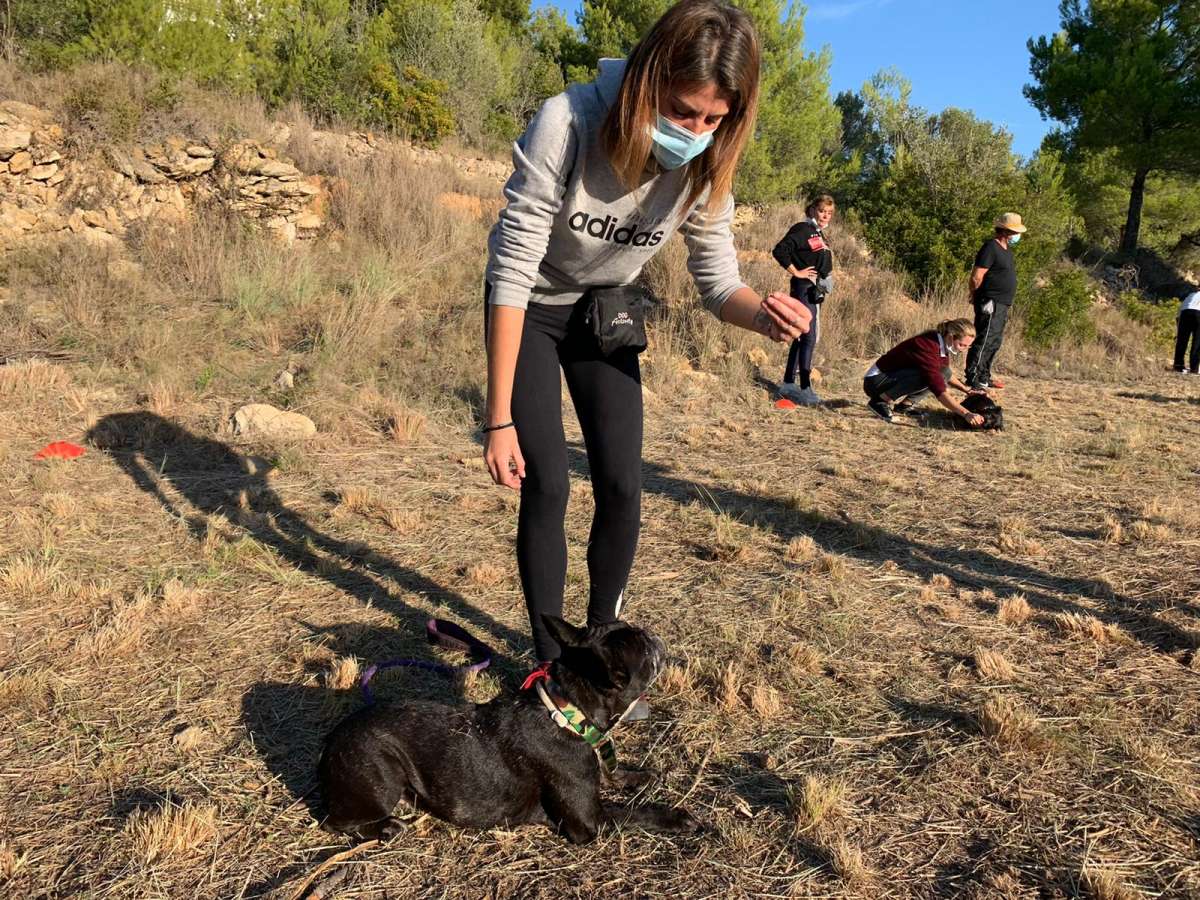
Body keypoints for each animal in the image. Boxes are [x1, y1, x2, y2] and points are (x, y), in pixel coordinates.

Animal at [319, 619, 700, 844]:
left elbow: (612, 775)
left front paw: (640, 775)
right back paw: (386, 827)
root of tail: (331, 741)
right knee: (334, 822)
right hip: (382, 777)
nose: (652, 633)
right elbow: (632, 812)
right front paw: (675, 817)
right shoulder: (589, 823)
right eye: (643, 648)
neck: (567, 711)